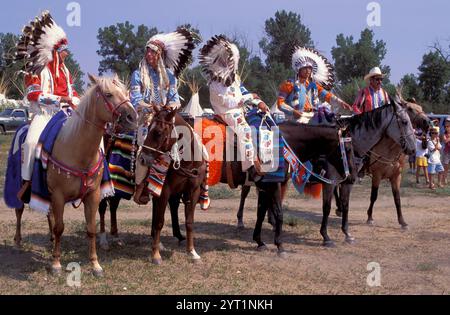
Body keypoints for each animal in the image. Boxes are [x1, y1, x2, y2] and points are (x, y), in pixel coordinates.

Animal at [13, 74, 138, 276]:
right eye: (108, 94)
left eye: (126, 93)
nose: (132, 118)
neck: (76, 148)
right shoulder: (58, 195)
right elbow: (60, 227)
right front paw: (56, 264)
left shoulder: (92, 195)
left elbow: (90, 228)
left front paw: (95, 264)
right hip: (21, 186)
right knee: (19, 211)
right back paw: (17, 242)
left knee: (49, 214)